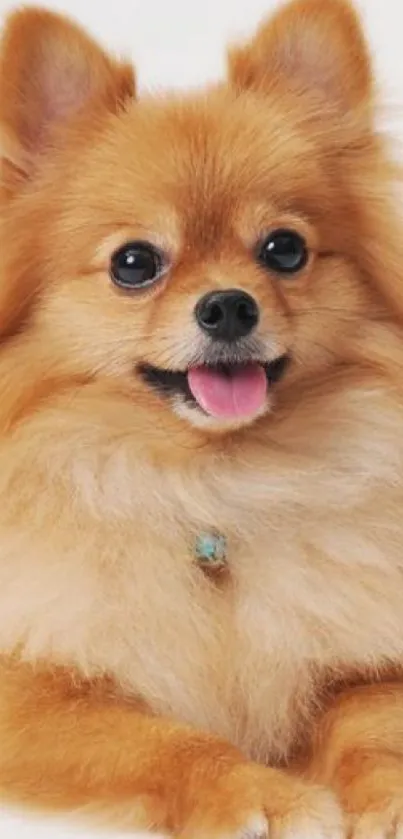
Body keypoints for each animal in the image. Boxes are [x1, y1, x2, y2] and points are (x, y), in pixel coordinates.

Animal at [0, 0, 403, 836]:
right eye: (133, 263)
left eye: (284, 249)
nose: (227, 305)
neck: (210, 485)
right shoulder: (26, 684)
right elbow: (154, 739)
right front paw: (257, 793)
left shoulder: (372, 655)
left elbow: (371, 722)